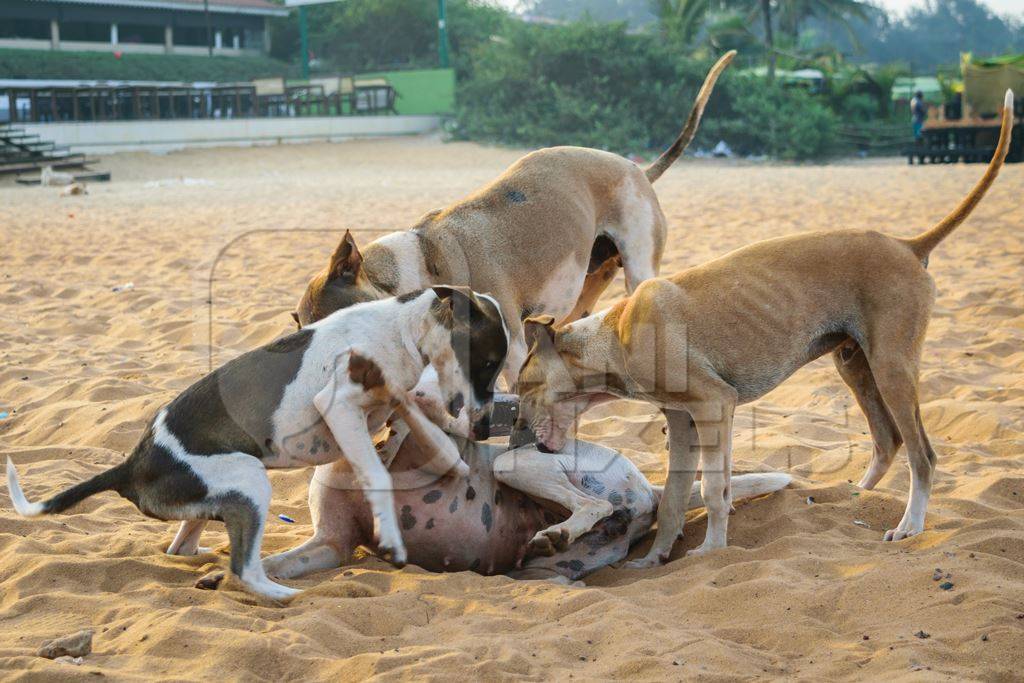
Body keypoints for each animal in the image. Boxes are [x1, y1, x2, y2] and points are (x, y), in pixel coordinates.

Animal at [4, 286, 507, 602]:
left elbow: (423, 436)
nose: (485, 428)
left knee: (182, 548)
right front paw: (391, 538)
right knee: (243, 570)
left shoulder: (392, 407)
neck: (403, 330)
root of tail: (131, 465)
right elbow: (378, 473)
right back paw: (280, 593)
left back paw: (208, 556)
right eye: (487, 362)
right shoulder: (340, 406)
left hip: (220, 495)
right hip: (249, 480)